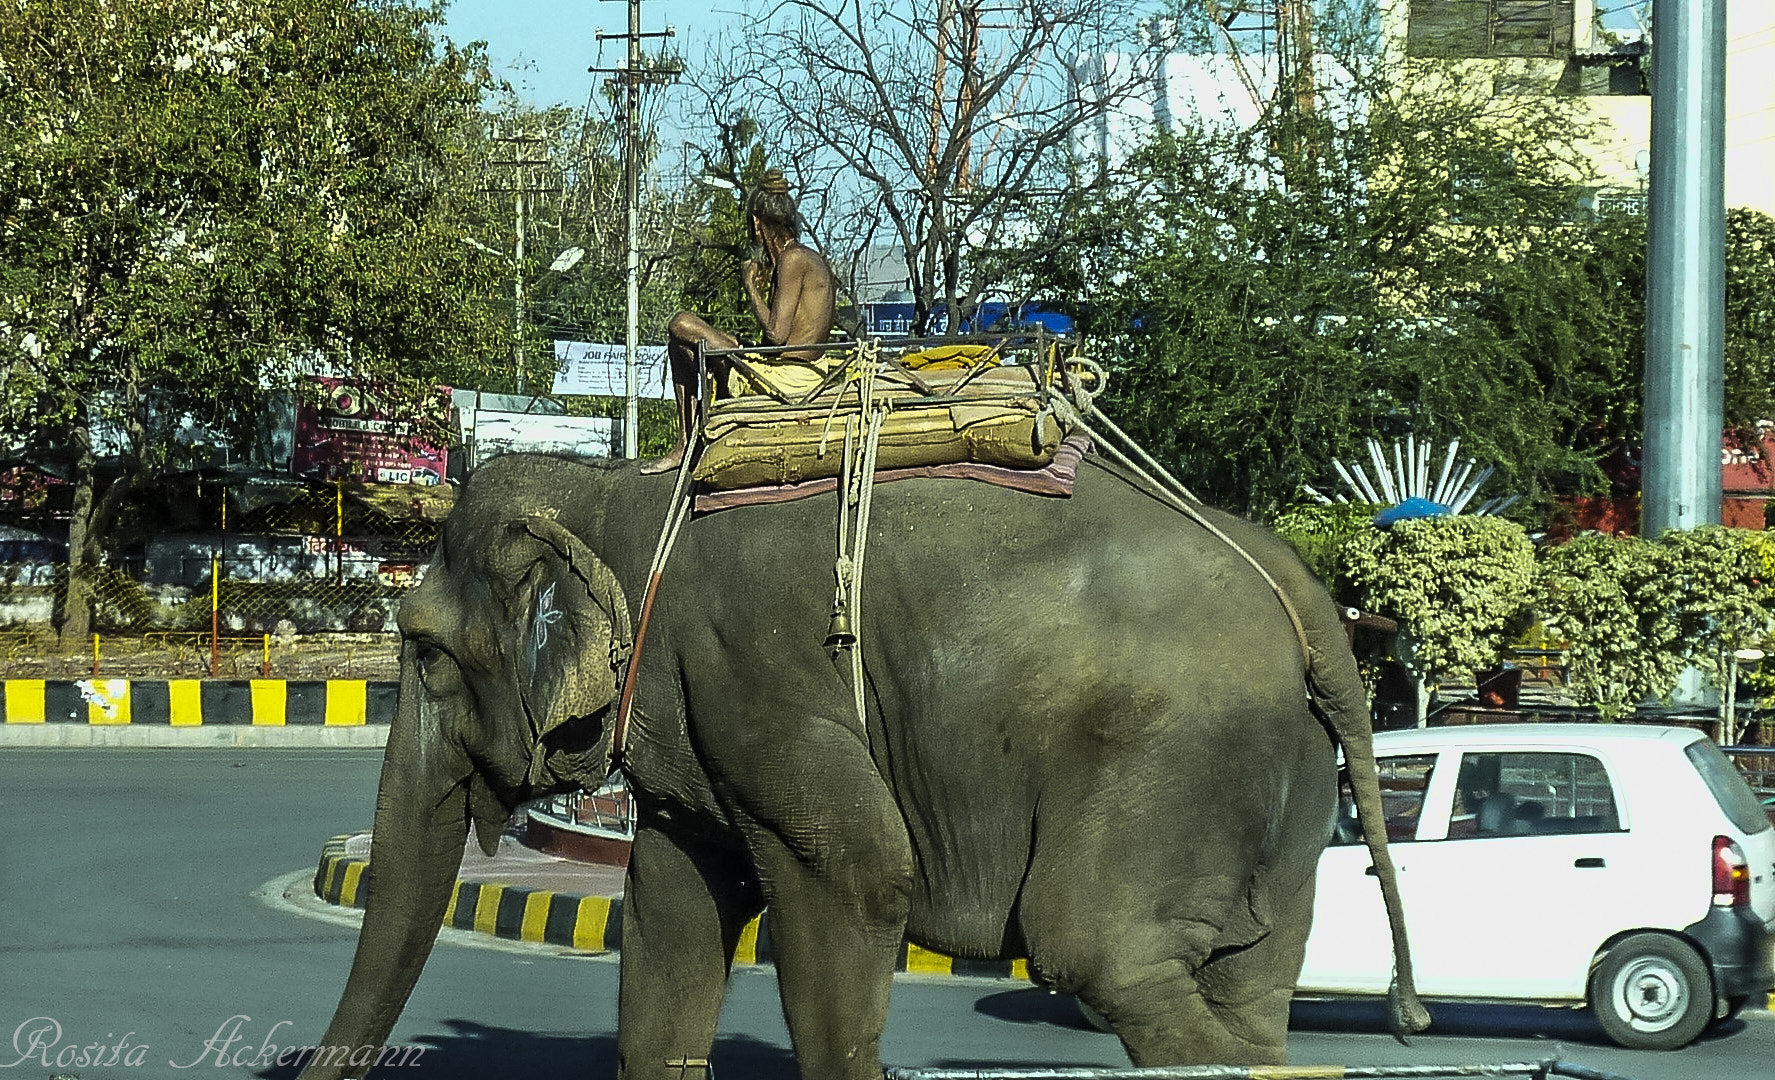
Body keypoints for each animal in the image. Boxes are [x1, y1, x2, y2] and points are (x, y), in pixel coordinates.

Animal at [294, 451, 1427, 1072]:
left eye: (425, 654)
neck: (626, 497)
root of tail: (1296, 585)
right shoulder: (695, 731)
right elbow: (671, 912)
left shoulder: (750, 679)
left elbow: (855, 878)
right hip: (1278, 783)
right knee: (1250, 984)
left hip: (1168, 753)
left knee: (1103, 953)